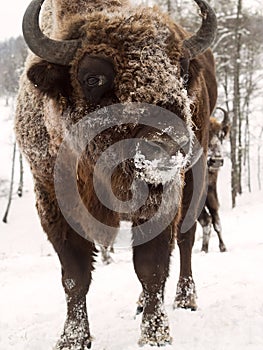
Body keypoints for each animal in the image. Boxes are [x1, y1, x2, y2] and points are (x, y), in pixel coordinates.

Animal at [14, 0, 219, 346]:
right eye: (92, 78)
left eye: (181, 71)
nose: (167, 142)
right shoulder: (53, 203)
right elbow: (75, 275)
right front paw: (72, 339)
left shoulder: (160, 198)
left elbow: (151, 266)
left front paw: (155, 335)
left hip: (197, 174)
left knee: (186, 238)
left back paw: (185, 299)